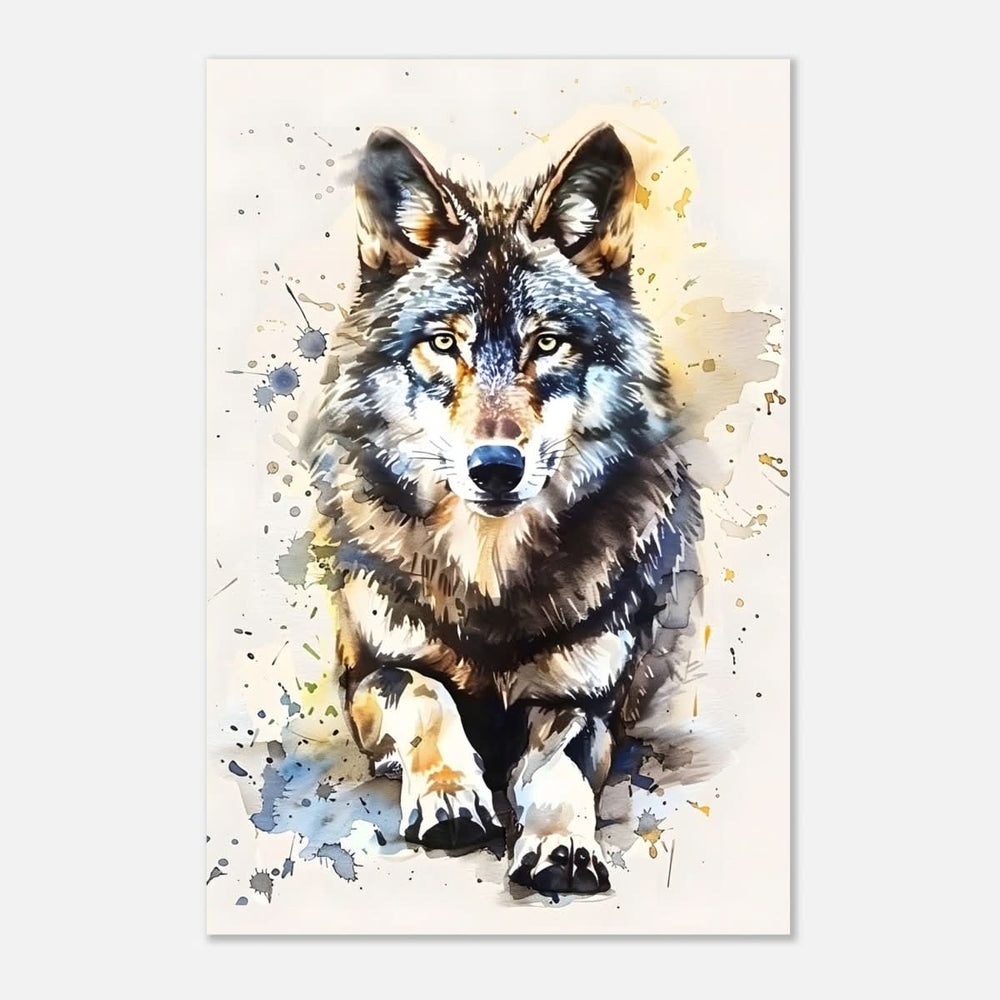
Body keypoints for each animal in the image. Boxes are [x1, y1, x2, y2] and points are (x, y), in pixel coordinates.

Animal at [302, 124, 703, 895]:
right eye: (443, 342)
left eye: (546, 343)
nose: (495, 468)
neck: (488, 576)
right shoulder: (371, 671)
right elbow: (427, 698)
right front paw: (452, 797)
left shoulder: (584, 701)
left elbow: (559, 774)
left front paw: (561, 846)